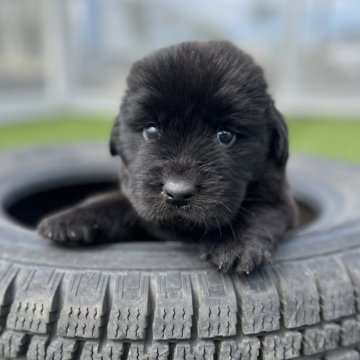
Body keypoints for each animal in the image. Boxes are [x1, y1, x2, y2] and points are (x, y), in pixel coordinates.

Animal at [38, 40, 298, 272]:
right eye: (151, 130)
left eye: (225, 135)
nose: (178, 193)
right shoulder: (137, 195)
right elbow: (113, 201)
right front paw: (70, 220)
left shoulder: (279, 199)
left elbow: (258, 212)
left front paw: (235, 243)